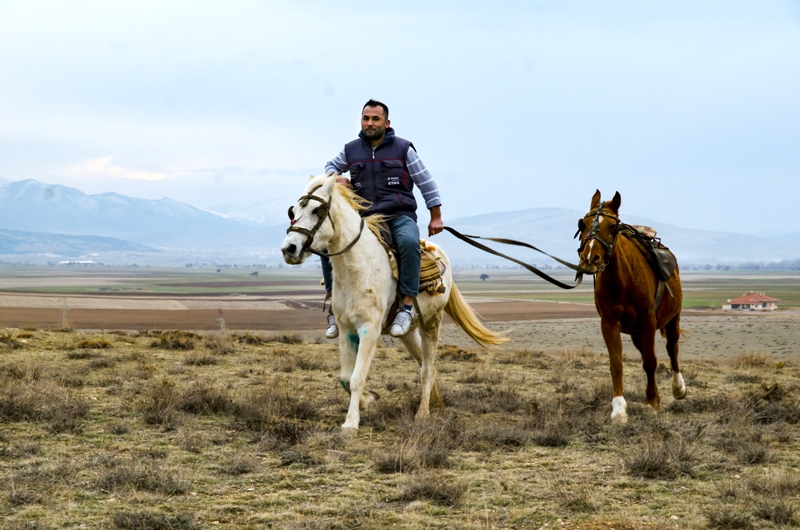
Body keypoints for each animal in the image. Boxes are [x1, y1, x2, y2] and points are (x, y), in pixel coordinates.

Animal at [282, 175, 506, 432]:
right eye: (293, 211)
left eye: (317, 210)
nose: (289, 249)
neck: (359, 266)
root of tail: (441, 255)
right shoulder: (346, 329)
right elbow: (346, 378)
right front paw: (368, 400)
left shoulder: (369, 329)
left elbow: (357, 377)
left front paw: (351, 423)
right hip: (408, 334)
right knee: (425, 366)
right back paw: (436, 403)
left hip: (432, 323)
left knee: (427, 369)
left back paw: (423, 413)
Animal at [576, 189, 688, 420]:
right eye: (582, 224)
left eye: (612, 226)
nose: (589, 258)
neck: (622, 280)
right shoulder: (609, 323)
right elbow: (617, 364)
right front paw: (619, 409)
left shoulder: (648, 320)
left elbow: (651, 361)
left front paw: (651, 403)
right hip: (637, 333)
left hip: (672, 319)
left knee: (672, 349)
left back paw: (678, 388)